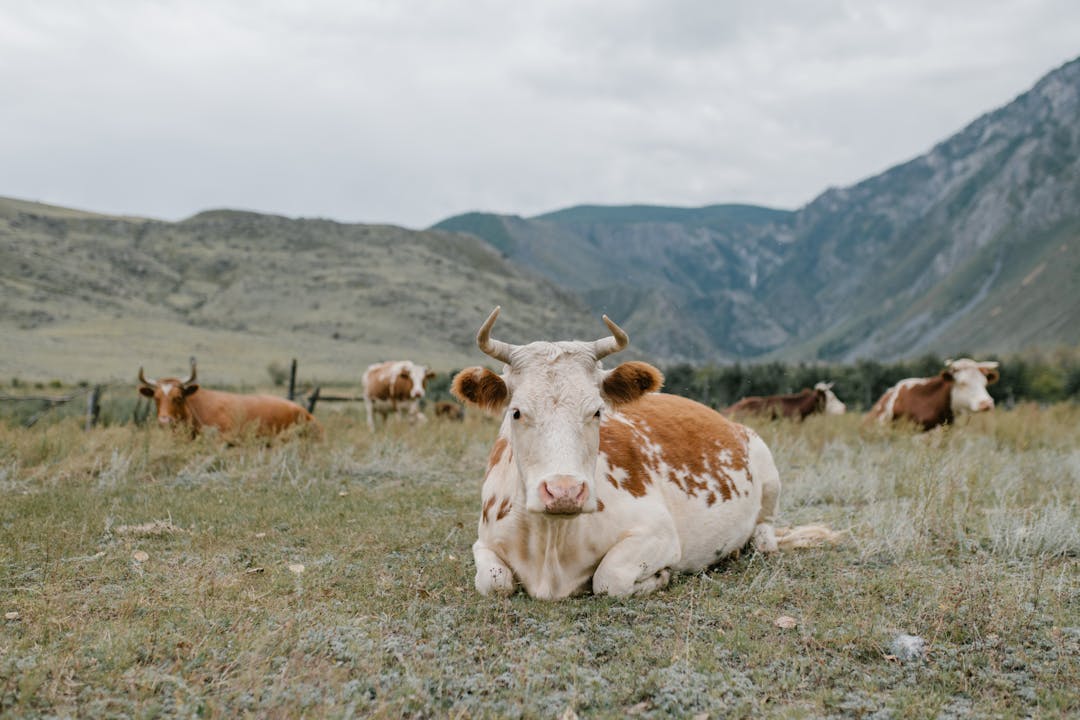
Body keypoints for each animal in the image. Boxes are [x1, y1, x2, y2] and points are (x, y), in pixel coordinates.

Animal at [451, 306, 838, 600]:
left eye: (597, 411)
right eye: (516, 412)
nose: (564, 492)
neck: (552, 544)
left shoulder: (659, 534)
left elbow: (609, 579)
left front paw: (660, 577)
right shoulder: (483, 542)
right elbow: (494, 581)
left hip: (767, 469)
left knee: (766, 534)